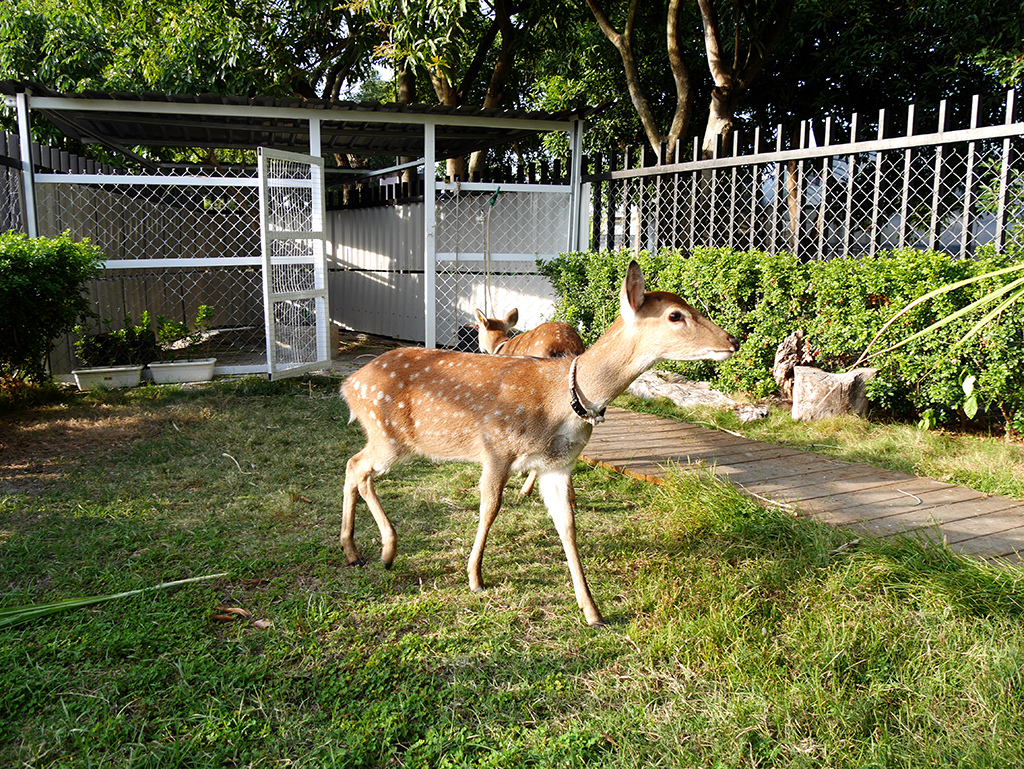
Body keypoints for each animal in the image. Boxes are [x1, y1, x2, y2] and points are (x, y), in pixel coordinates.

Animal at [342, 262, 737, 626]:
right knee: (357, 466)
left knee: (355, 468)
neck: (561, 399)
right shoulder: (496, 447)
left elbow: (568, 526)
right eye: (675, 315)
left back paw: (357, 552)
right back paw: (383, 550)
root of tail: (349, 384)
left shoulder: (558, 465)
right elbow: (490, 509)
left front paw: (591, 610)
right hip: (388, 436)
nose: (731, 341)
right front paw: (475, 577)